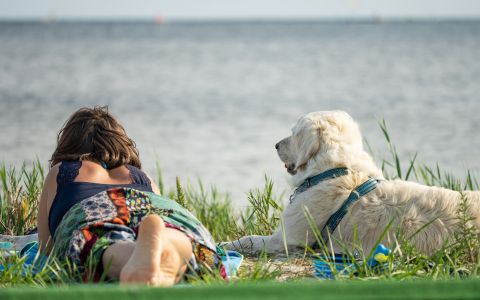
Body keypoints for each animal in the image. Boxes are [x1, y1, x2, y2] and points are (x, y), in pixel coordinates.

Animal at [222, 110, 480, 255]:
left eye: (293, 133)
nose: (275, 144)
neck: (337, 169)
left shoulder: (286, 239)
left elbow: (250, 239)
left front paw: (227, 245)